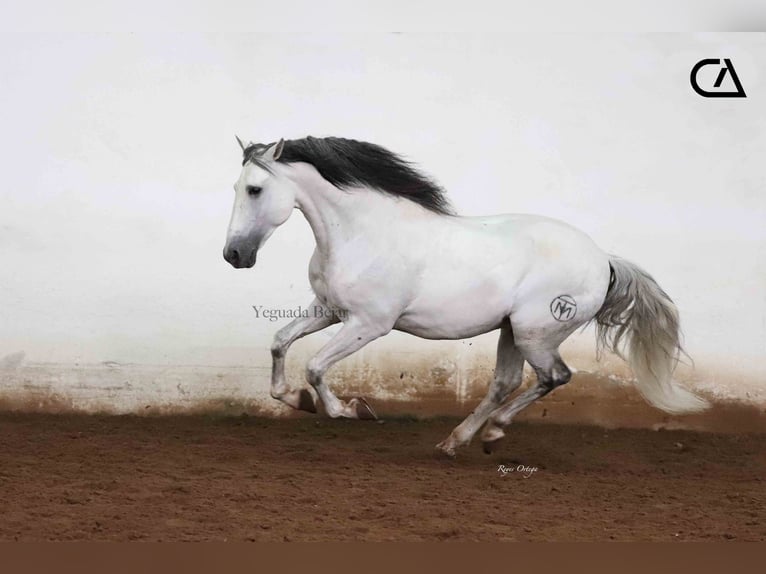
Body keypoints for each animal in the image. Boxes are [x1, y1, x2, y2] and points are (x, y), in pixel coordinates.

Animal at [225, 136, 712, 460]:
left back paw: (491, 433)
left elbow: (314, 366)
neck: (362, 233)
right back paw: (457, 441)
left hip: (536, 333)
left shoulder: (369, 324)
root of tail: (604, 260)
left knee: (554, 377)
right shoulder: (327, 310)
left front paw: (349, 410)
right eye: (237, 187)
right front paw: (294, 399)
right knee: (505, 383)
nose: (234, 255)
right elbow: (280, 342)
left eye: (254, 189)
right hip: (512, 332)